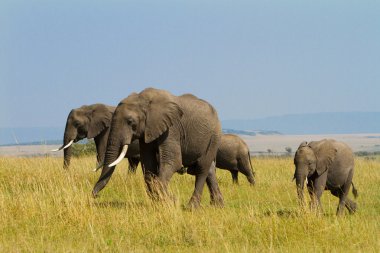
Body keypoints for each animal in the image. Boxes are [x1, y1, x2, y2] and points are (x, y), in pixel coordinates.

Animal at [91, 88, 223, 209]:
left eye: (130, 121)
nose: (95, 195)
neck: (143, 99)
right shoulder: (147, 130)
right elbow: (148, 164)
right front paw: (163, 202)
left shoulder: (172, 128)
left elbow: (173, 162)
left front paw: (171, 201)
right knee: (209, 170)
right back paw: (218, 205)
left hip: (214, 137)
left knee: (202, 169)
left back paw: (192, 207)